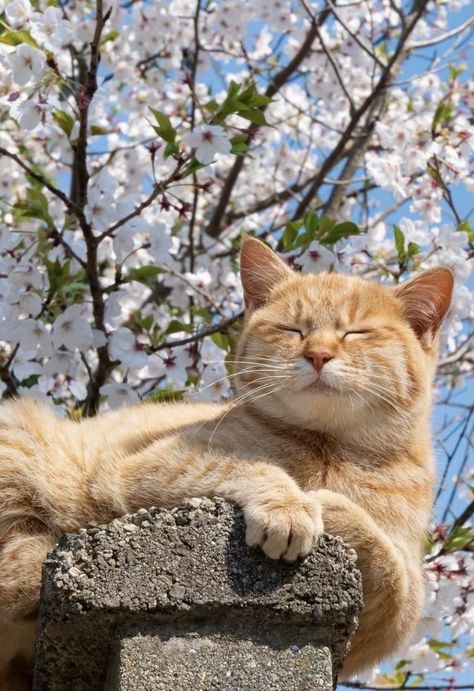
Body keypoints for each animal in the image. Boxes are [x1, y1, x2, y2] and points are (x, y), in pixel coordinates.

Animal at [0, 237, 452, 688]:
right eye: (293, 330)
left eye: (356, 332)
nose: (318, 354)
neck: (328, 448)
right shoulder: (147, 465)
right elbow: (247, 466)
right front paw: (293, 504)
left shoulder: (398, 607)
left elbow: (387, 563)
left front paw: (329, 505)